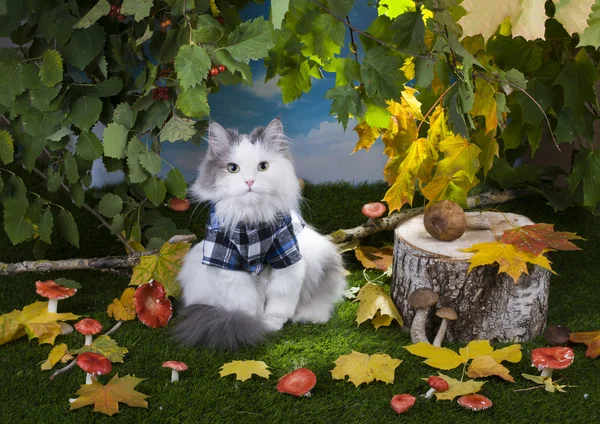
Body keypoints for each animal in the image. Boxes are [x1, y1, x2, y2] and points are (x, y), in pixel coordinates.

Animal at [171, 117, 346, 350]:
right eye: (233, 168)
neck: (252, 227)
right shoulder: (226, 263)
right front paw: (250, 324)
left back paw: (309, 316)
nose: (249, 181)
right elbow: (245, 302)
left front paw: (270, 325)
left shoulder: (286, 258)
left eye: (263, 167)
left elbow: (279, 302)